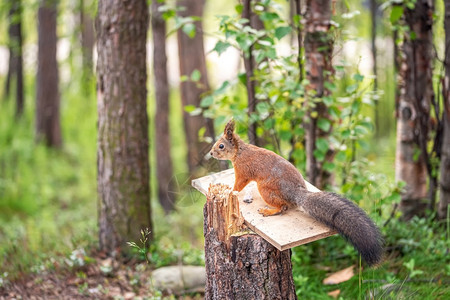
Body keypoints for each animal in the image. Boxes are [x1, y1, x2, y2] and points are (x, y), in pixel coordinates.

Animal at [211, 118, 384, 266]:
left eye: (221, 146)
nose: (211, 154)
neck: (239, 151)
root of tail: (296, 193)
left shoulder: (243, 171)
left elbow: (238, 184)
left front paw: (230, 190)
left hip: (265, 189)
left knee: (282, 207)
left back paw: (268, 211)